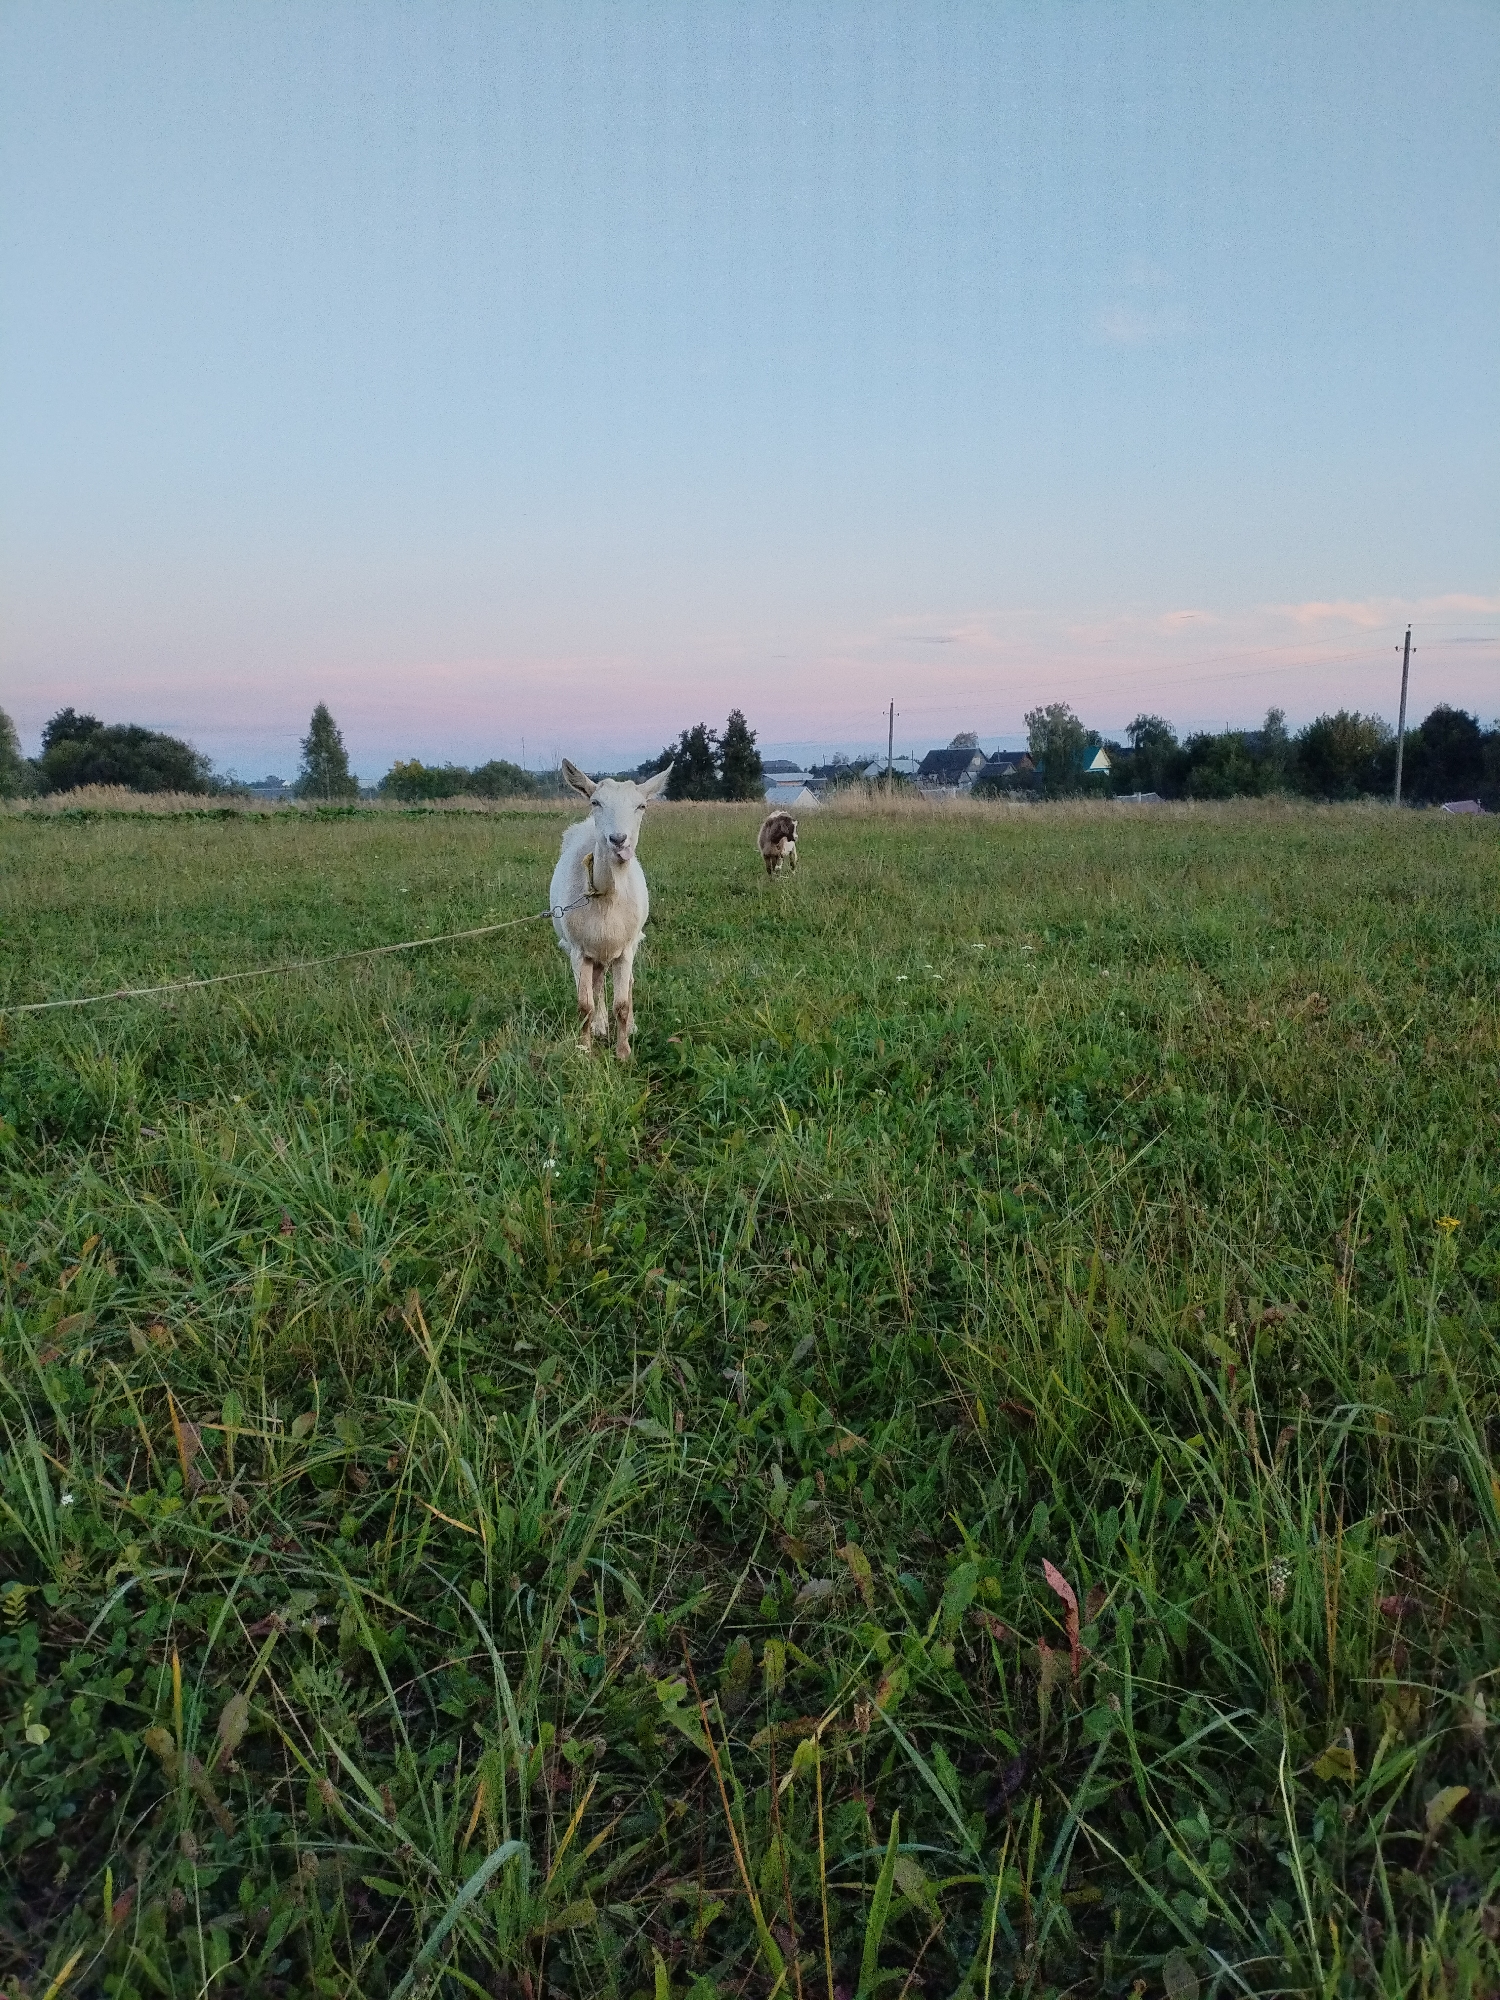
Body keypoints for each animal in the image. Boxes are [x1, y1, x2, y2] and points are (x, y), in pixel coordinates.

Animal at [550, 760, 672, 1058]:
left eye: (642, 806)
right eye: (595, 802)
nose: (618, 839)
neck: (604, 894)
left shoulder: (626, 948)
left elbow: (623, 1004)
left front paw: (624, 1052)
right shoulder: (579, 950)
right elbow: (585, 1004)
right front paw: (584, 1049)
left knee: (627, 985)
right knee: (596, 984)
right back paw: (599, 1026)